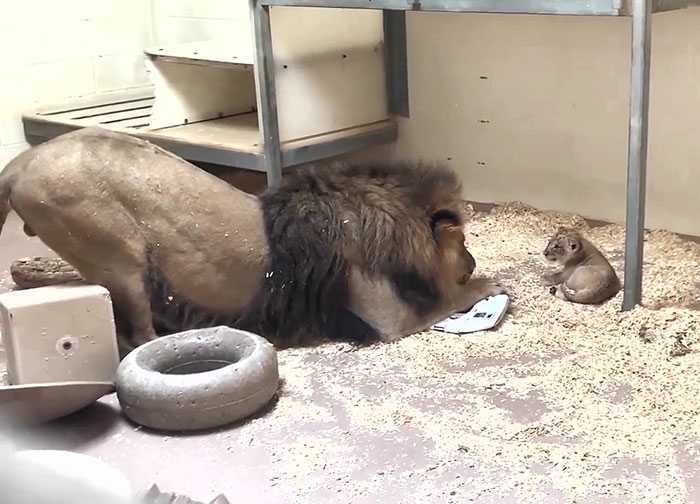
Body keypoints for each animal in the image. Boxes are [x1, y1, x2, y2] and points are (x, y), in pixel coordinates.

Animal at [0, 129, 504, 350]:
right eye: (462, 242)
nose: (474, 261)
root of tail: (19, 165)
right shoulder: (387, 318)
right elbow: (451, 298)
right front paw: (492, 284)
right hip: (117, 255)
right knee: (138, 332)